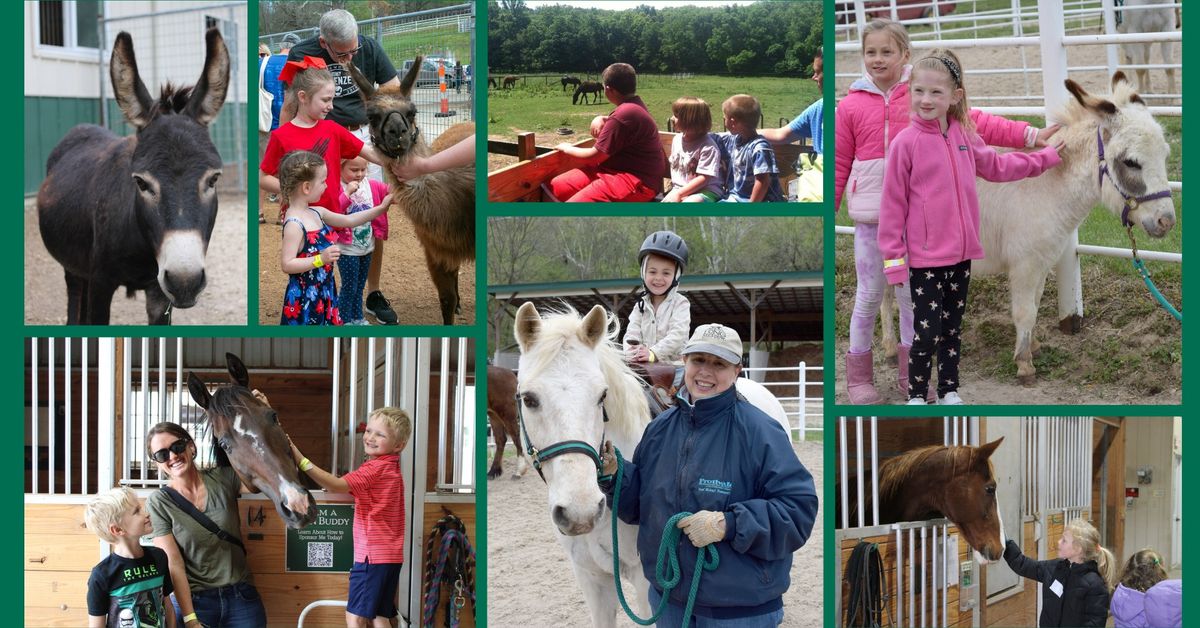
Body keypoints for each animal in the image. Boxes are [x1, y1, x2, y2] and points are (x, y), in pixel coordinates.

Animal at [37, 28, 229, 324]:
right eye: (141, 182)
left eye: (213, 179)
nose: (185, 283)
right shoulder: (101, 283)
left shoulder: (159, 294)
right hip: (73, 265)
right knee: (74, 295)